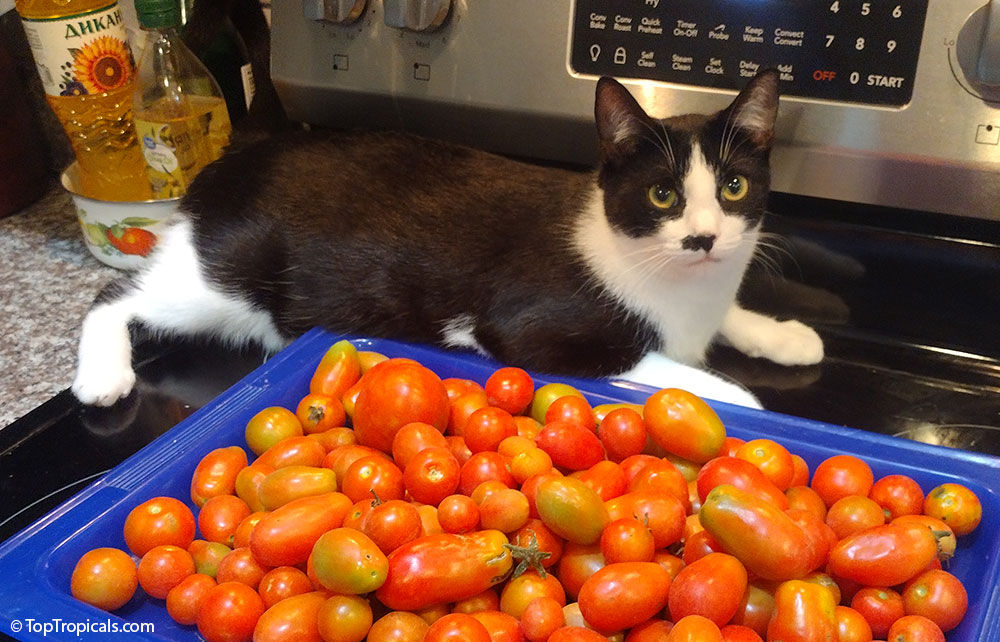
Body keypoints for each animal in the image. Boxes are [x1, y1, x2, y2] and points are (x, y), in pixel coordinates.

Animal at [70, 71, 820, 404]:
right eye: (663, 194)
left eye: (734, 188)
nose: (703, 238)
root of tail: (232, 156)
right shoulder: (530, 330)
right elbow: (668, 370)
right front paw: (739, 396)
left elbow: (729, 318)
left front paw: (783, 334)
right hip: (222, 278)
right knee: (116, 296)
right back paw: (102, 374)